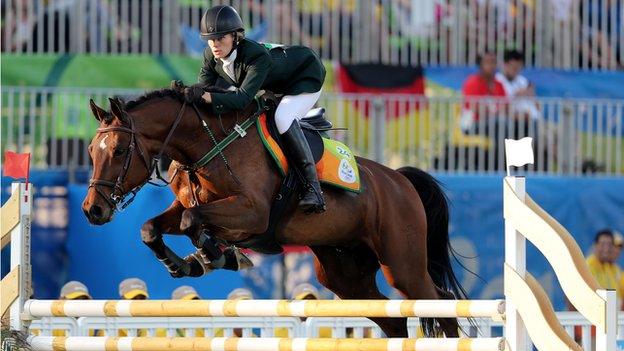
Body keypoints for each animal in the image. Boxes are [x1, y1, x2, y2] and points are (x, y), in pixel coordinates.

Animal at [80, 87, 466, 338]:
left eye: (119, 149)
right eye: (91, 150)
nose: (92, 210)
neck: (205, 145)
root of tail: (400, 180)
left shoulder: (252, 213)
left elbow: (195, 223)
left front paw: (216, 256)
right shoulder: (186, 207)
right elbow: (152, 228)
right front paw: (185, 263)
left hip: (402, 264)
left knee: (441, 305)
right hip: (343, 274)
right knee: (394, 320)